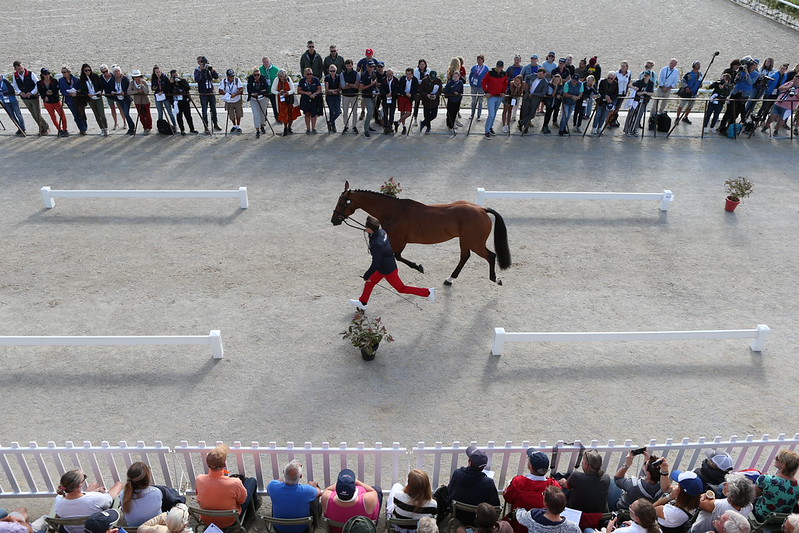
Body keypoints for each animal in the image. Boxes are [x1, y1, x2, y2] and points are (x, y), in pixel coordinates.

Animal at [331, 181, 511, 285]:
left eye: (343, 202)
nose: (334, 220)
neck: (393, 212)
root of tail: (481, 209)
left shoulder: (398, 241)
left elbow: (397, 256)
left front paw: (419, 267)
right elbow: (396, 257)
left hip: (474, 242)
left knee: (491, 256)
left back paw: (496, 279)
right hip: (465, 241)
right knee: (464, 257)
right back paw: (450, 279)